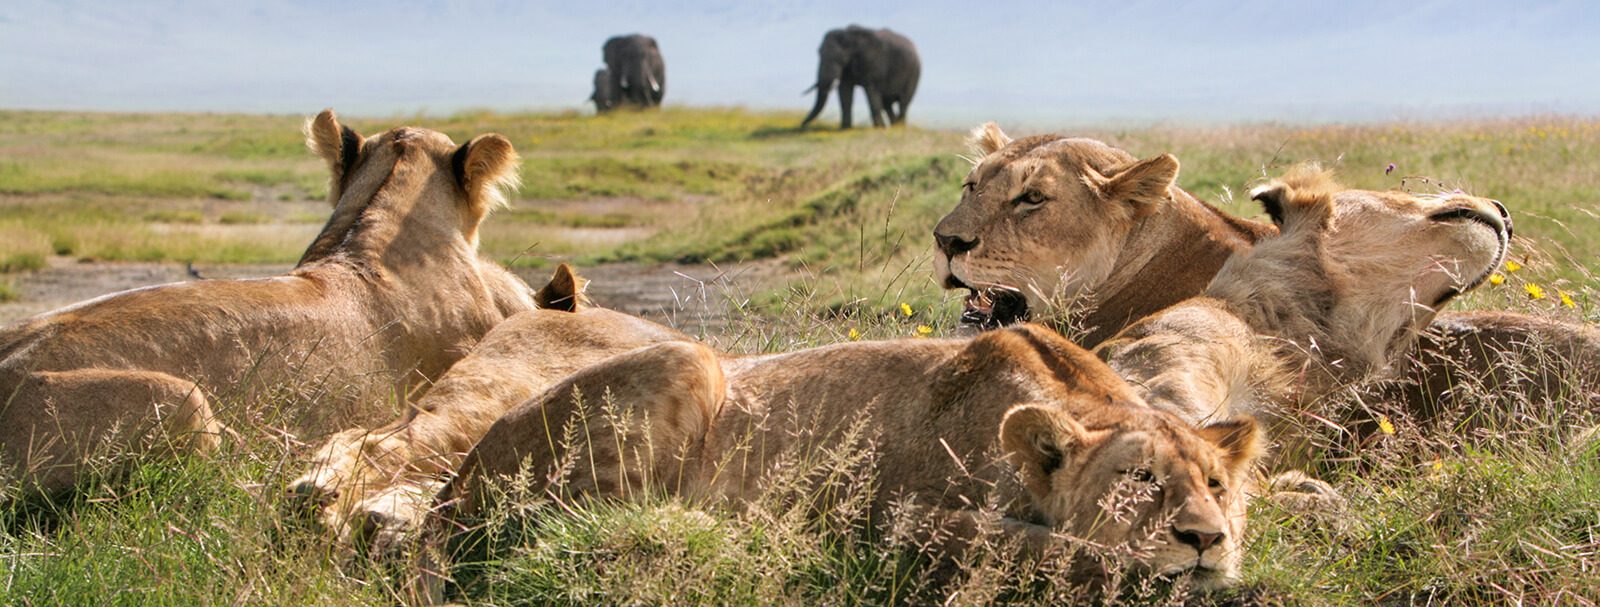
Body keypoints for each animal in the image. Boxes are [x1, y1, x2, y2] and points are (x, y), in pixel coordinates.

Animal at [422, 323, 1260, 598]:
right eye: (1141, 479)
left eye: (1217, 485)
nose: (1206, 537)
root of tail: (450, 486)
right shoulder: (899, 518)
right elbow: (1047, 548)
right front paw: (1165, 572)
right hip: (691, 359)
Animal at [800, 25, 928, 129]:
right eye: (819, 52)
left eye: (839, 57)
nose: (802, 125)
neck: (850, 35)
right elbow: (845, 91)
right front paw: (845, 129)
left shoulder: (872, 62)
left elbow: (872, 91)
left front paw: (879, 128)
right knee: (887, 103)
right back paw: (894, 126)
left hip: (914, 73)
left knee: (903, 102)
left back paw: (899, 128)